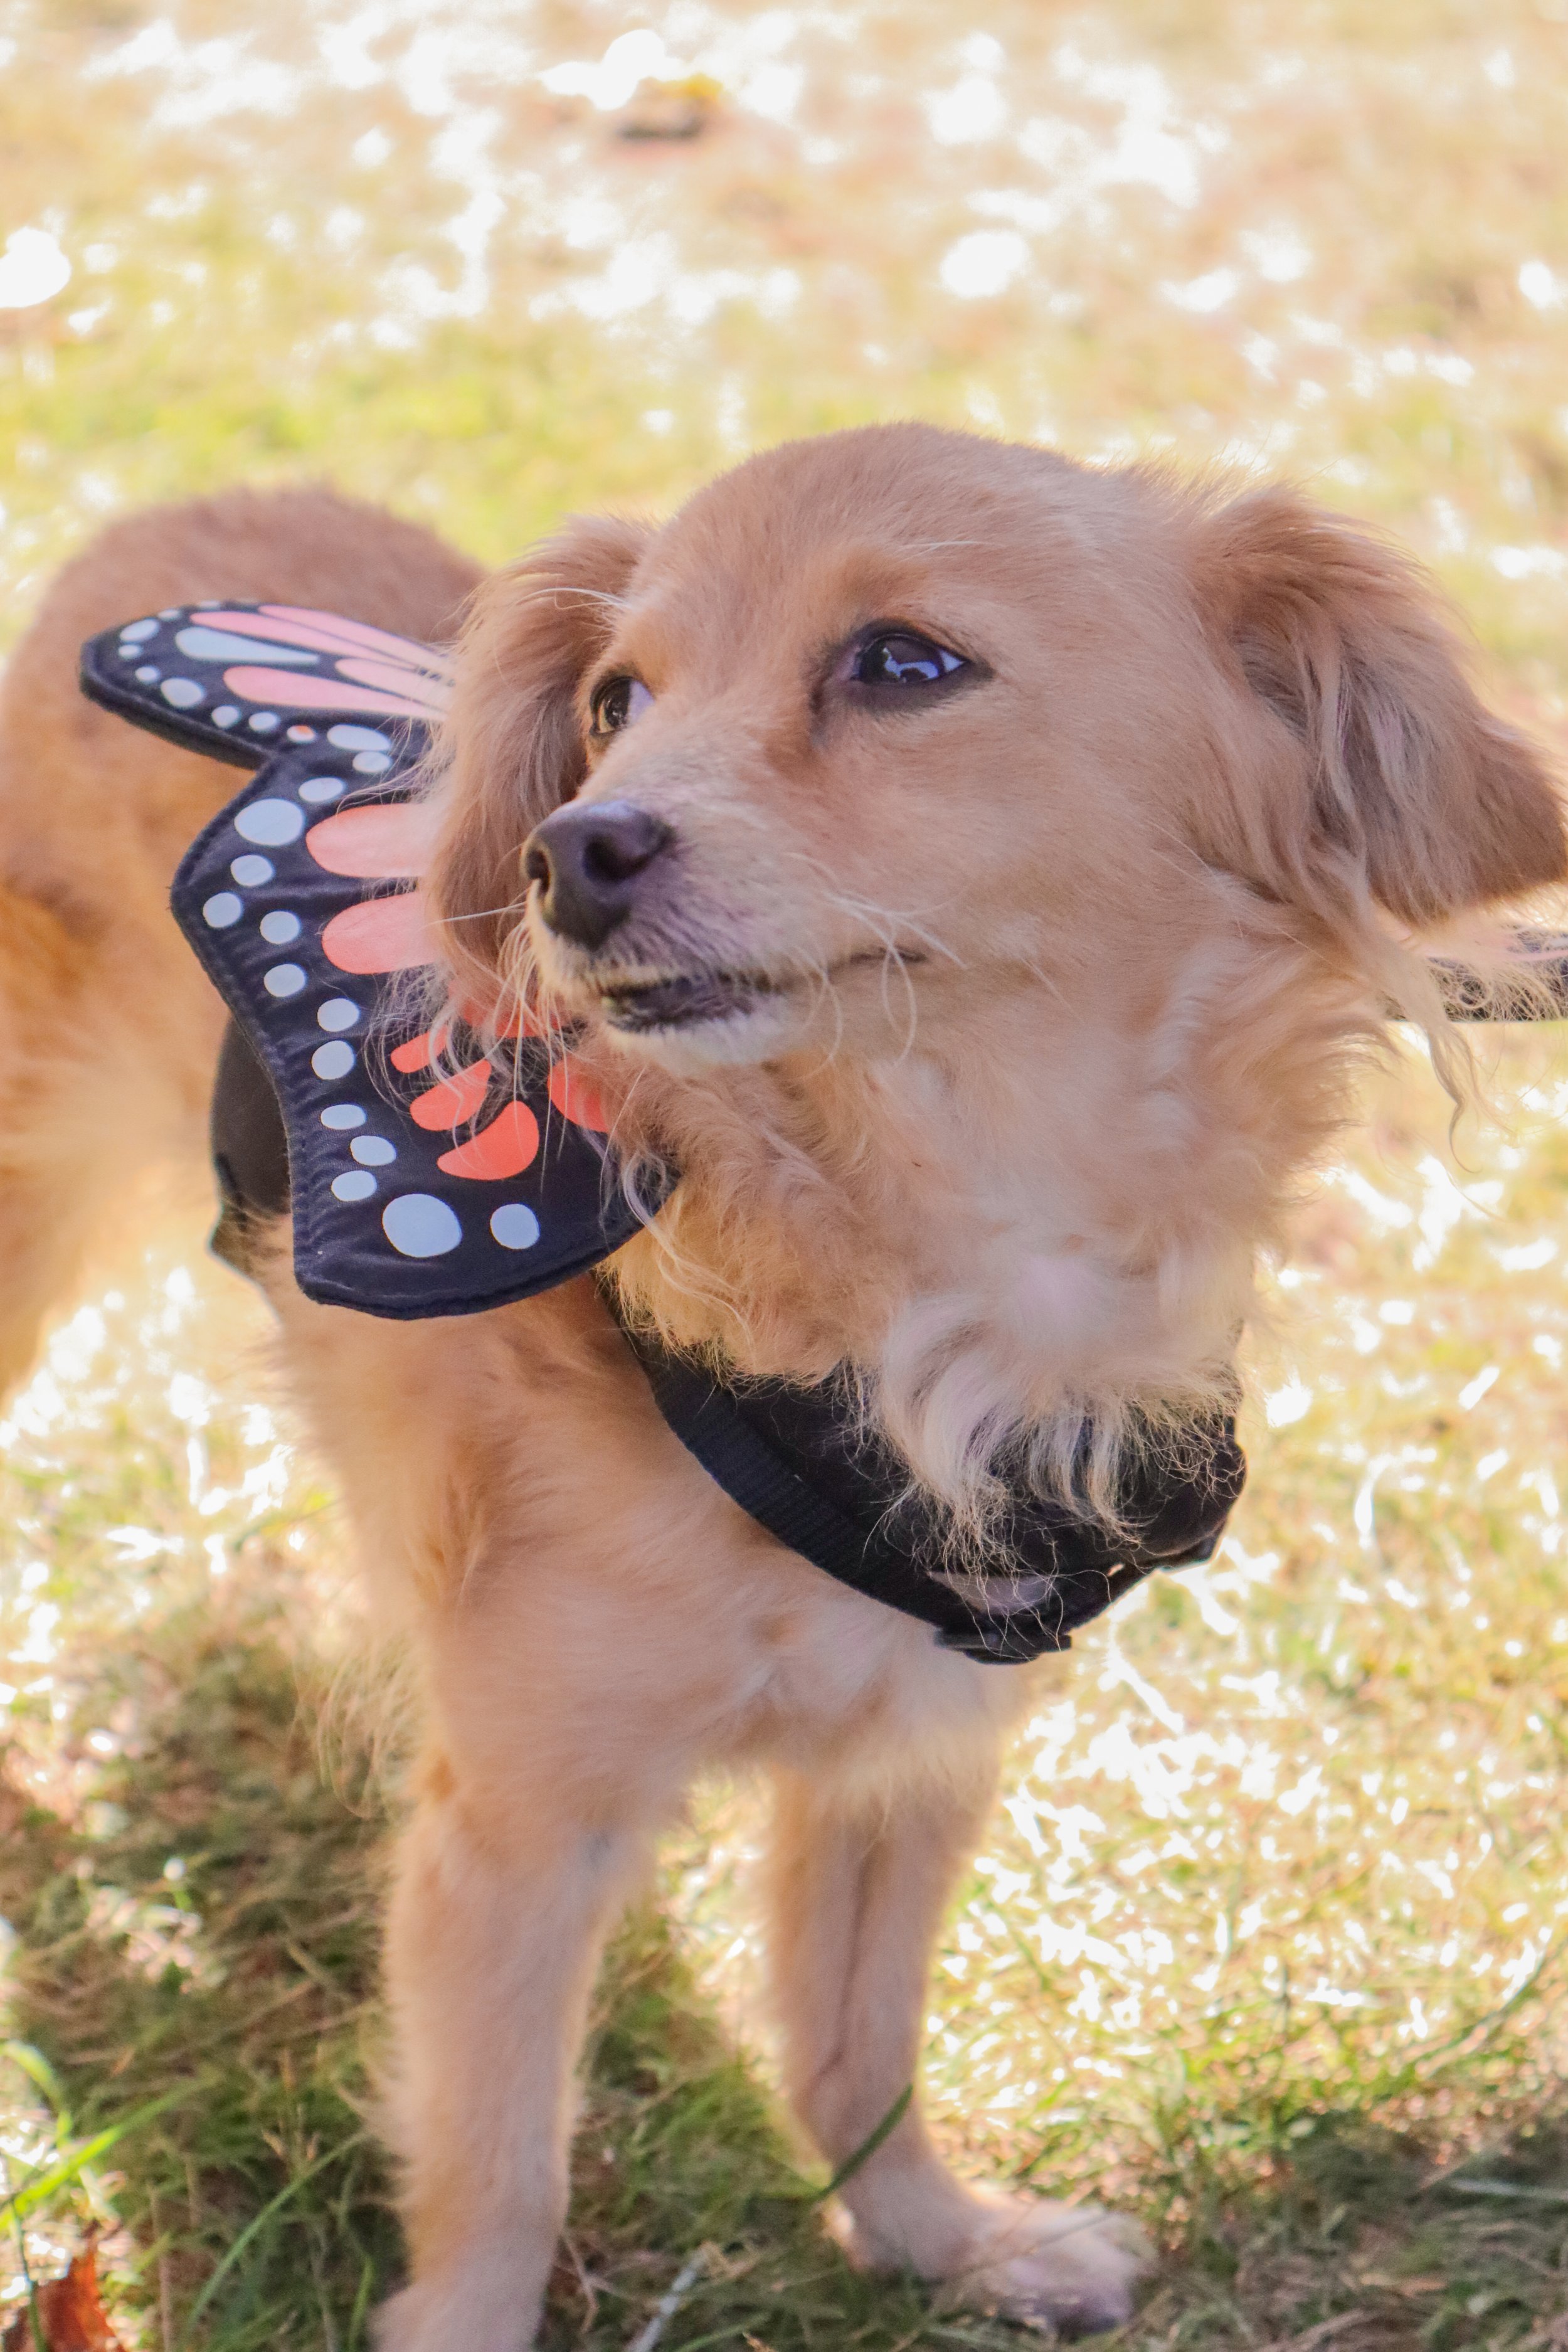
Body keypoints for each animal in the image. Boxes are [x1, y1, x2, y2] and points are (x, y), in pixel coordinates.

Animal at [1, 425, 1560, 2350]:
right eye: (614, 701)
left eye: (903, 663)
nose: (562, 853)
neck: (925, 1249)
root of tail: (152, 523)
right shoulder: (517, 1825)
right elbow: (502, 2162)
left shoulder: (911, 1747)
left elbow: (856, 2041)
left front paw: (940, 2240)